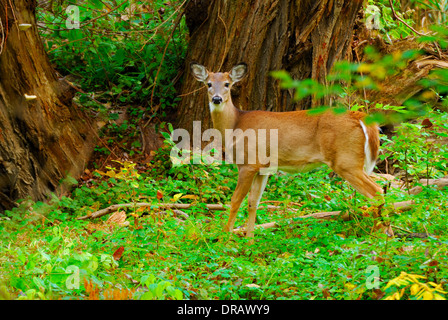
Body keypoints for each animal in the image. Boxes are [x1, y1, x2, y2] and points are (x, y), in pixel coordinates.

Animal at [189, 62, 388, 238]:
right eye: (208, 84)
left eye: (227, 84)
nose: (216, 99)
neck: (236, 124)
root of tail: (359, 116)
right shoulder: (262, 168)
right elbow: (254, 202)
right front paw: (249, 240)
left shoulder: (248, 163)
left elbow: (236, 200)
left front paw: (225, 238)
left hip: (346, 161)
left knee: (377, 191)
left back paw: (380, 236)